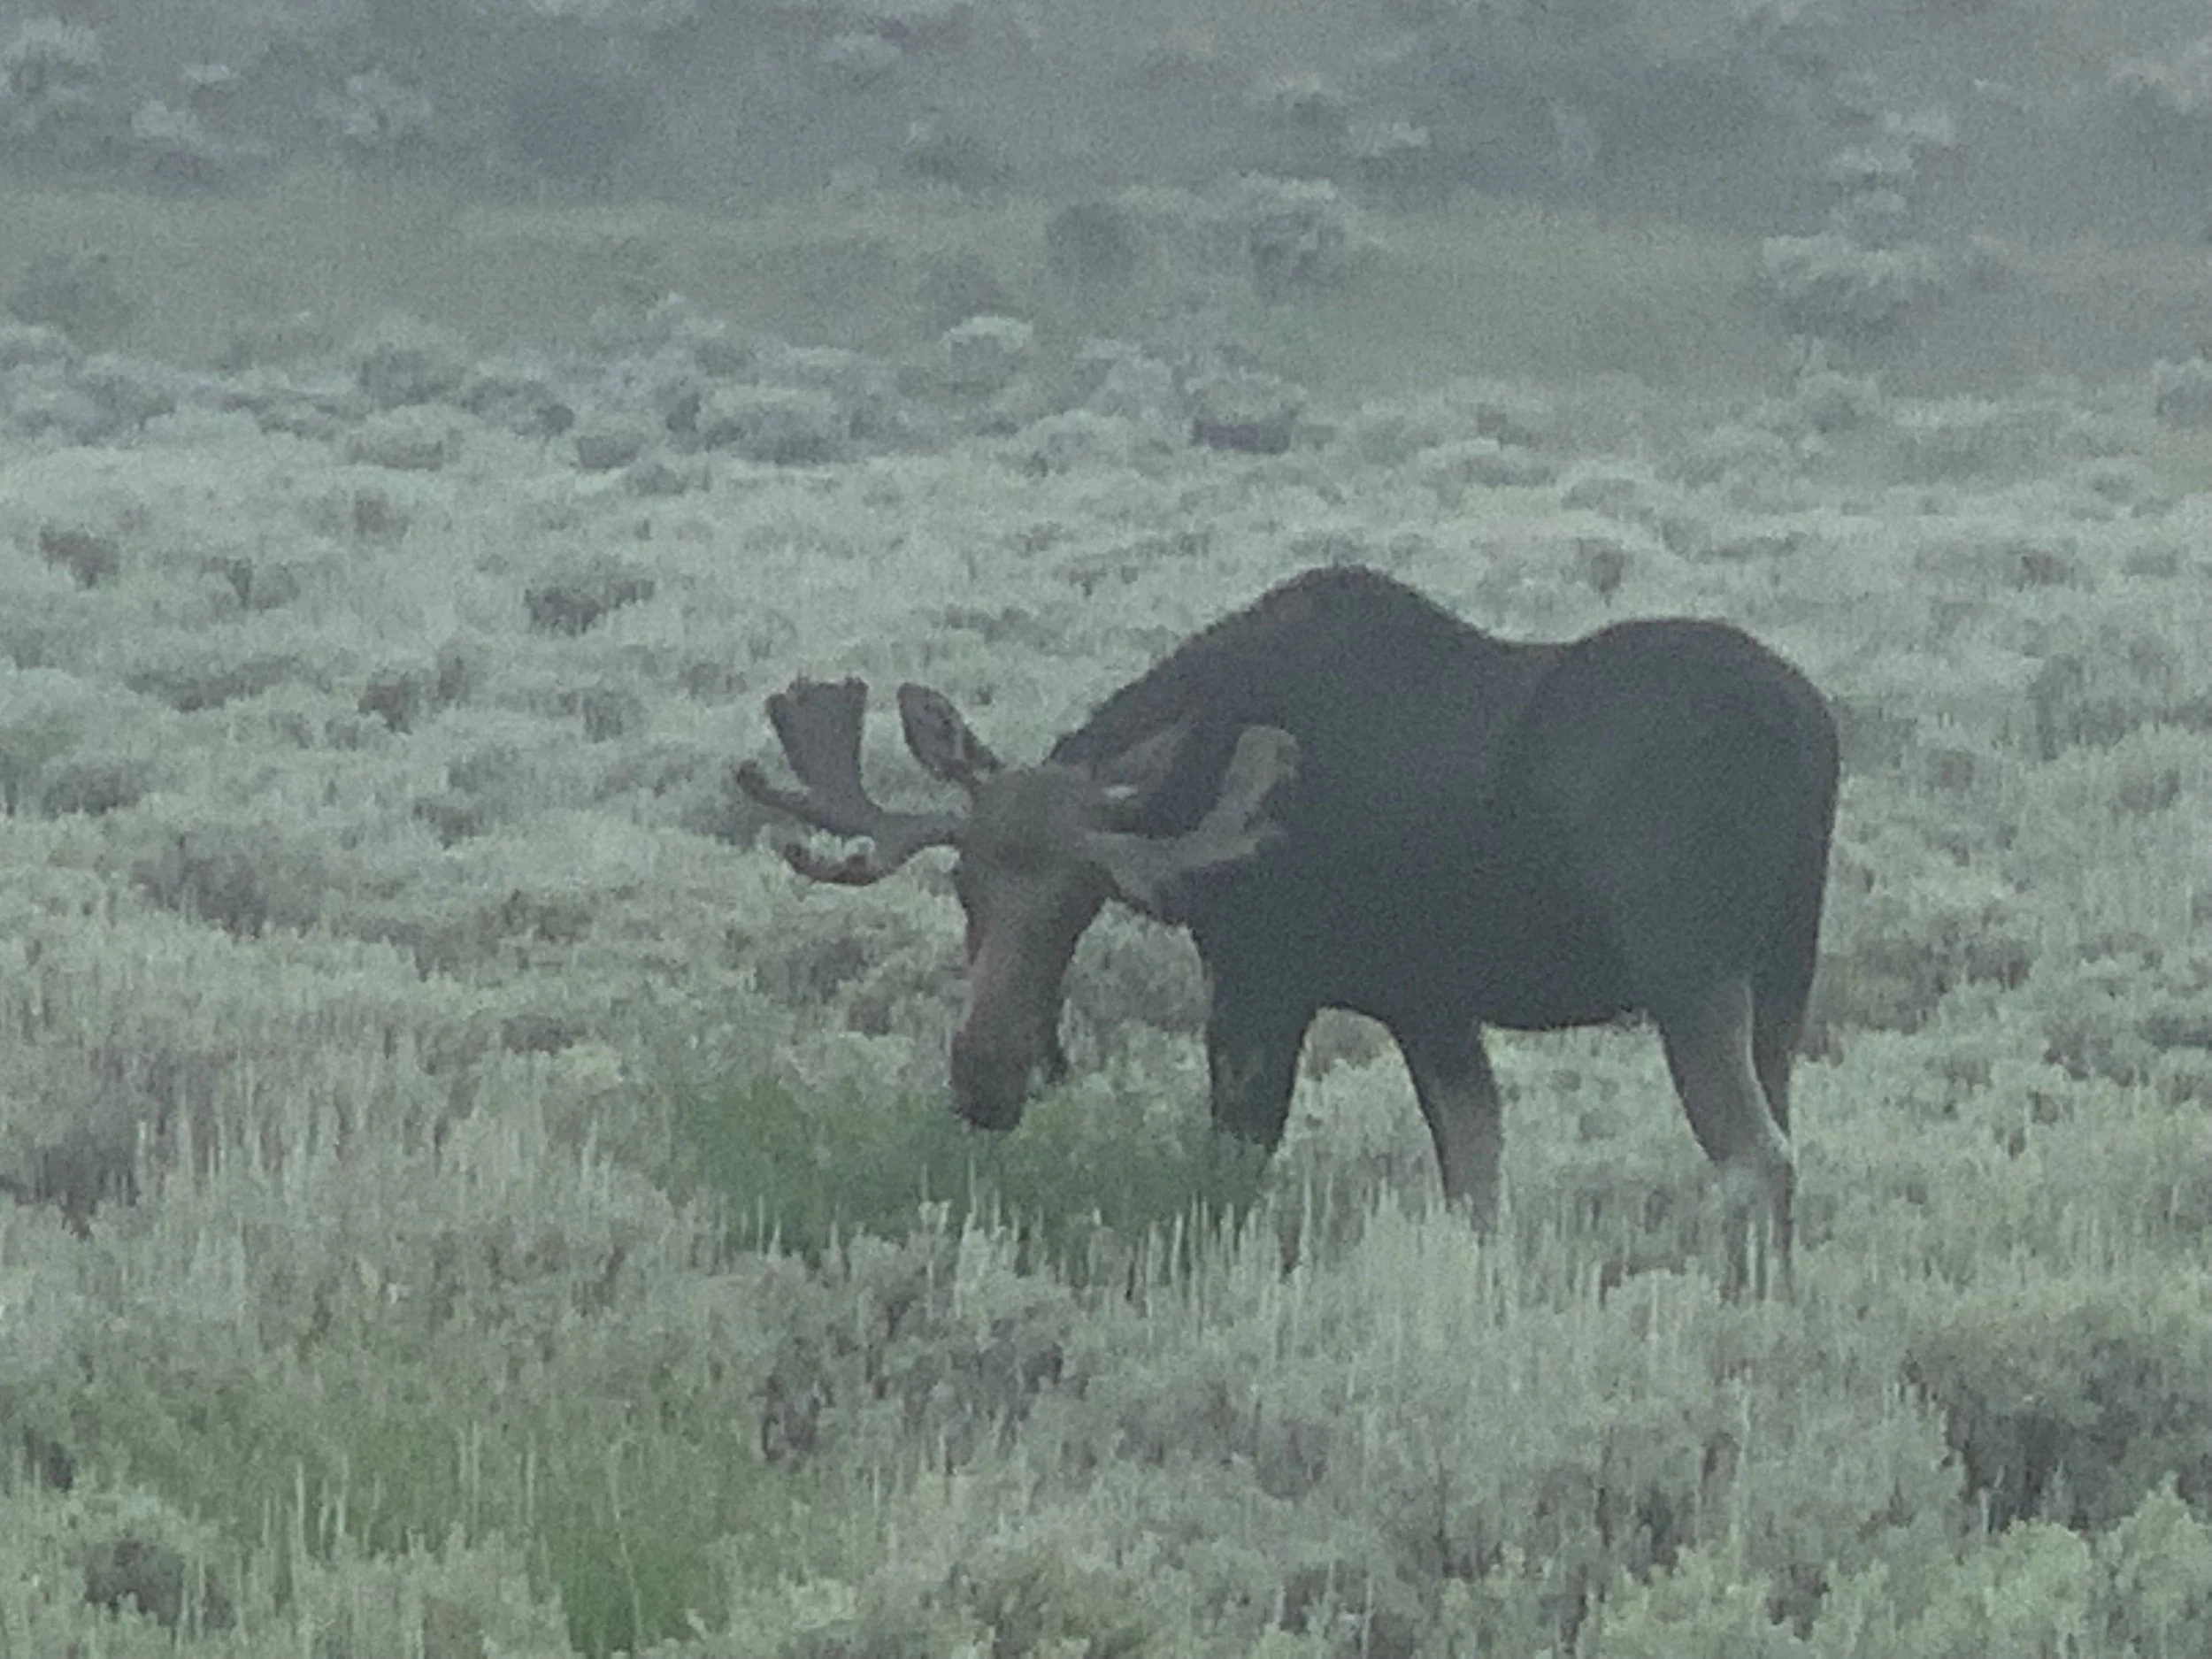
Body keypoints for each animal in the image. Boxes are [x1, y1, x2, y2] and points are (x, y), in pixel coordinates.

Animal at [736, 564, 1838, 1281]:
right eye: (964, 882)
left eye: (1084, 893)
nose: (985, 1076)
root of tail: (1807, 725)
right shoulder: (1427, 1002)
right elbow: (1475, 1184)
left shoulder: (1265, 976)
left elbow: (1231, 1163)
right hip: (1784, 973)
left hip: (1688, 967)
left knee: (1757, 1160)